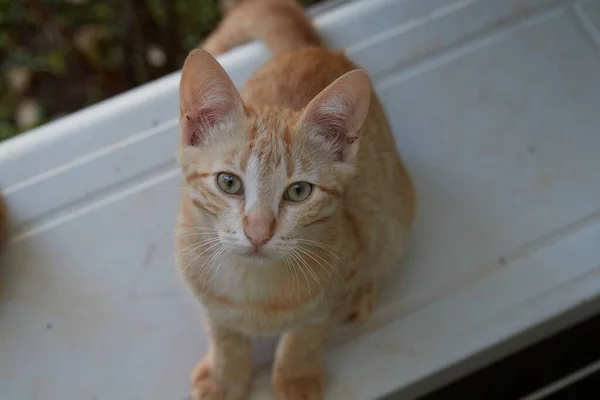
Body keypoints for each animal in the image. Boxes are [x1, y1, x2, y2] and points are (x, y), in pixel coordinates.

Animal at [176, 0, 414, 400]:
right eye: (229, 183)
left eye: (299, 191)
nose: (258, 232)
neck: (255, 288)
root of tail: (311, 50)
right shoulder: (204, 293)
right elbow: (223, 334)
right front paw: (226, 377)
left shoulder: (337, 280)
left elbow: (308, 334)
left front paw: (294, 377)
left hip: (394, 215)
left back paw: (364, 291)